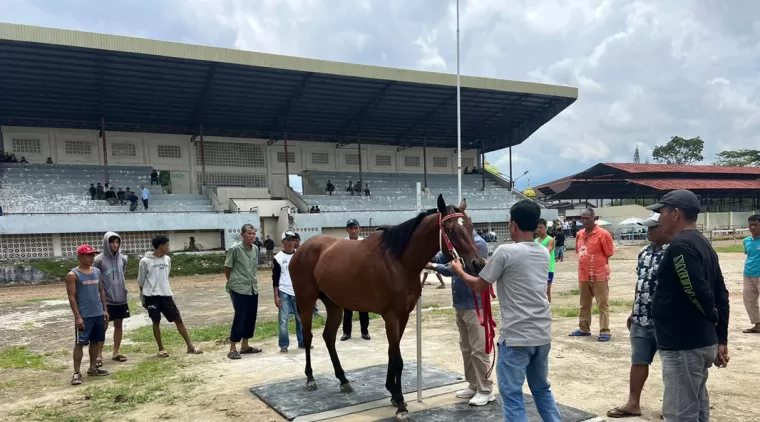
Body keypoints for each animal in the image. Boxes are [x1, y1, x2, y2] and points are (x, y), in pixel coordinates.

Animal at [290, 196, 486, 420]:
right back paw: (310, 378)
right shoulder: (391, 316)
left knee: (328, 337)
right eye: (450, 229)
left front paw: (392, 393)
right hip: (306, 301)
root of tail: (301, 248)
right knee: (308, 337)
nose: (477, 264)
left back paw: (343, 380)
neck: (399, 262)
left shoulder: (403, 315)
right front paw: (400, 404)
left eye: (470, 226)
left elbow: (393, 354)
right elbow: (397, 359)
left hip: (334, 305)